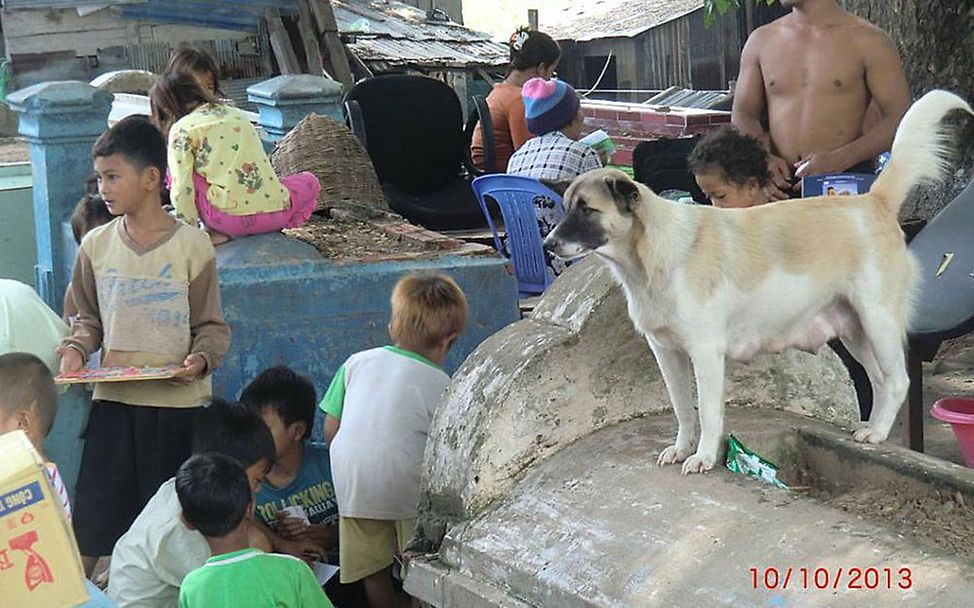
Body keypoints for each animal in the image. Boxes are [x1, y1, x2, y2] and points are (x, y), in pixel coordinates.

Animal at [544, 90, 972, 476]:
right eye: (566, 207)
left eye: (587, 210)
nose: (548, 244)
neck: (651, 255)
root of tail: (873, 201)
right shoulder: (666, 353)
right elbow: (683, 409)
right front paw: (681, 449)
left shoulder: (706, 354)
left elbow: (709, 413)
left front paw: (703, 456)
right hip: (855, 331)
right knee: (882, 382)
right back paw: (874, 429)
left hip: (878, 321)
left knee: (898, 380)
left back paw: (878, 434)